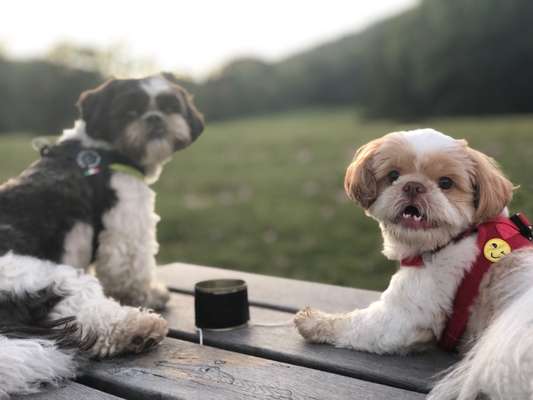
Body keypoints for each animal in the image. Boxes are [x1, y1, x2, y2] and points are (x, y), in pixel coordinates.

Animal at [294, 130, 532, 400]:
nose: (413, 186)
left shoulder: (405, 313)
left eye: (446, 183)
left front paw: (313, 321)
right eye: (393, 175)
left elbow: (354, 324)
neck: (453, 239)